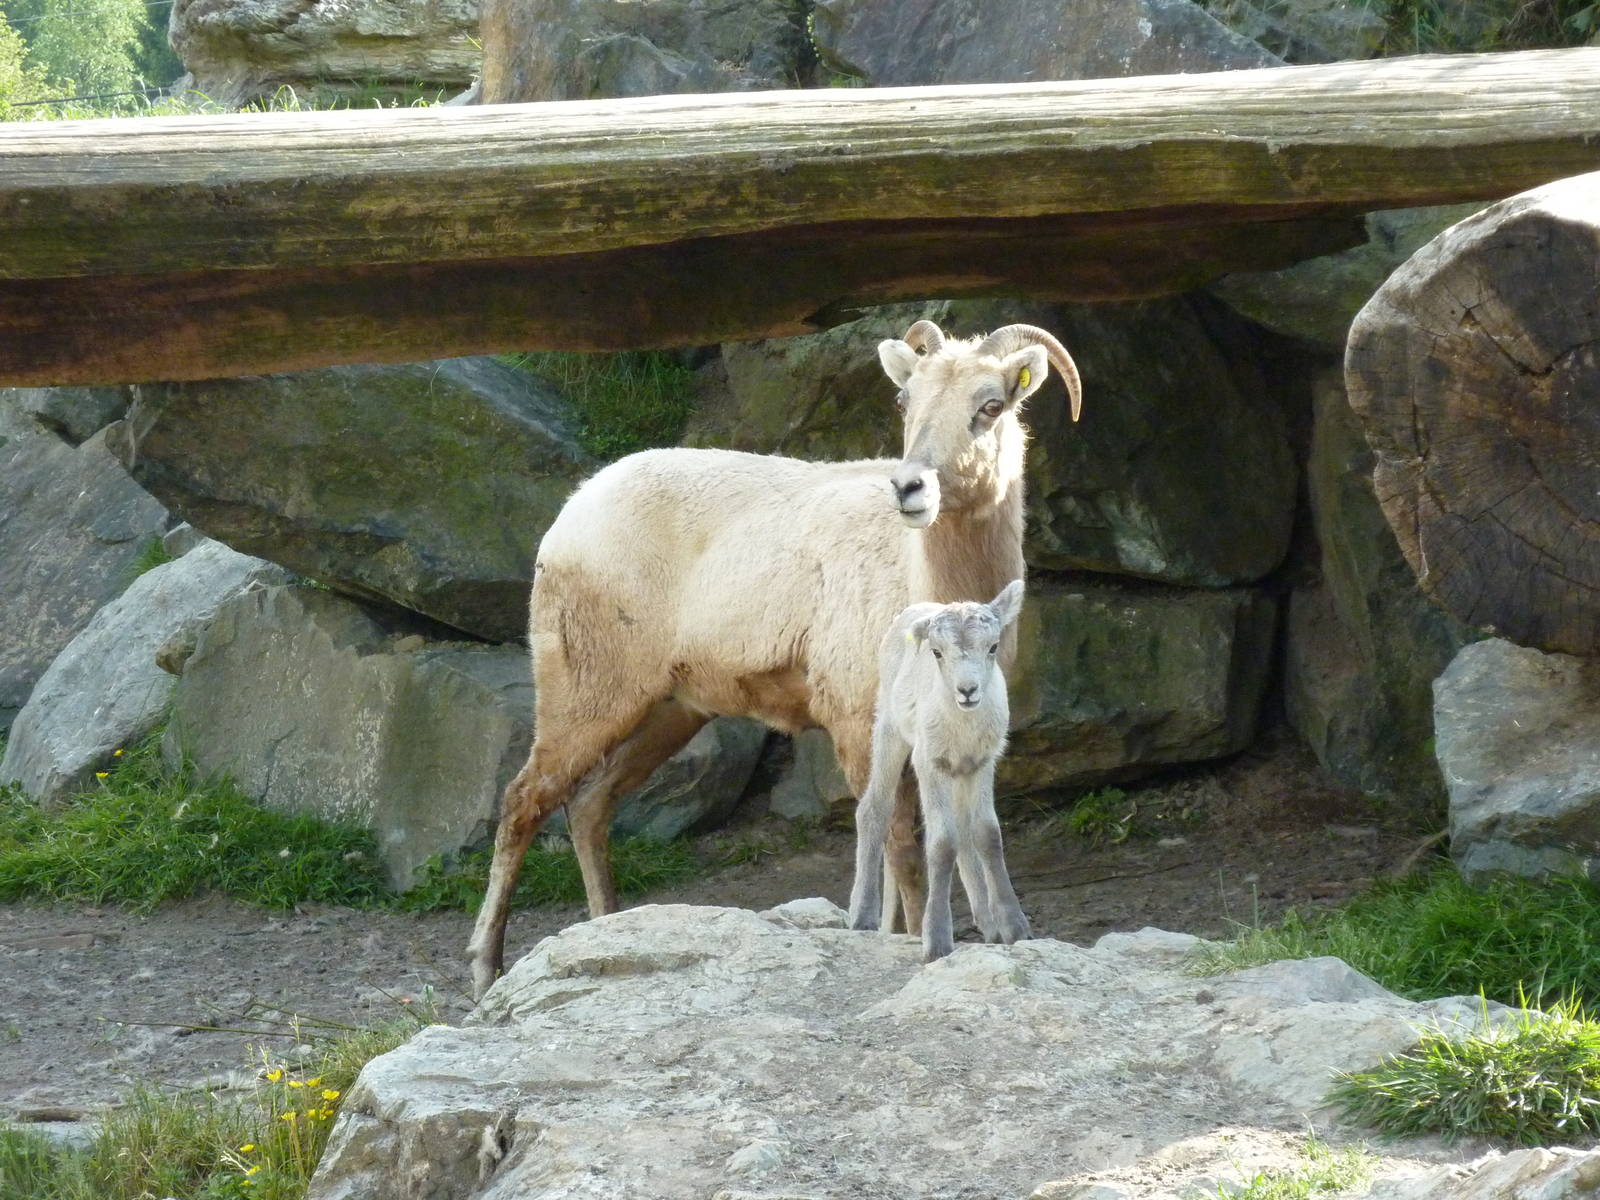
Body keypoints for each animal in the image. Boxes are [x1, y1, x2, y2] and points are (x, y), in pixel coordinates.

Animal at [847, 581, 1029, 962]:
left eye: (993, 647)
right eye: (936, 653)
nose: (967, 691)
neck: (964, 728)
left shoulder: (983, 761)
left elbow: (987, 834)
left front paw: (1015, 928)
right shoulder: (929, 762)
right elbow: (942, 843)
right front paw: (937, 941)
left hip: (960, 770)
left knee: (964, 829)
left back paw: (988, 923)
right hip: (889, 726)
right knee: (873, 808)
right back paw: (862, 916)